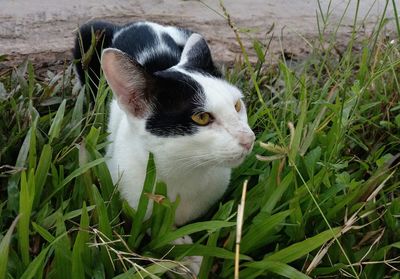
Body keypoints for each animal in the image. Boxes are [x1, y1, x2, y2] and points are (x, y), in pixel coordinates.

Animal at [72, 20, 253, 274]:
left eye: (237, 105)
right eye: (202, 118)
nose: (249, 138)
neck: (184, 173)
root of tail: (135, 23)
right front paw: (185, 255)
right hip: (87, 33)